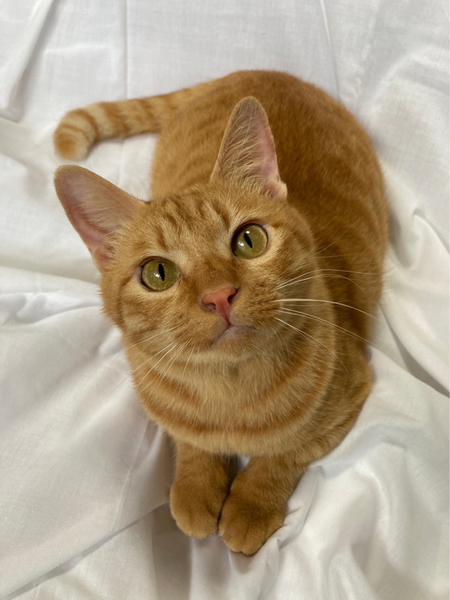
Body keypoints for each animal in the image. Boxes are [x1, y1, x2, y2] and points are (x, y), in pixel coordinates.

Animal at [53, 70, 388, 556]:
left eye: (249, 240)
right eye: (158, 274)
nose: (219, 296)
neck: (229, 393)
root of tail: (257, 71)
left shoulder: (348, 396)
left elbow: (283, 454)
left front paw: (249, 506)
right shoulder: (172, 418)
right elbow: (191, 443)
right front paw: (196, 489)